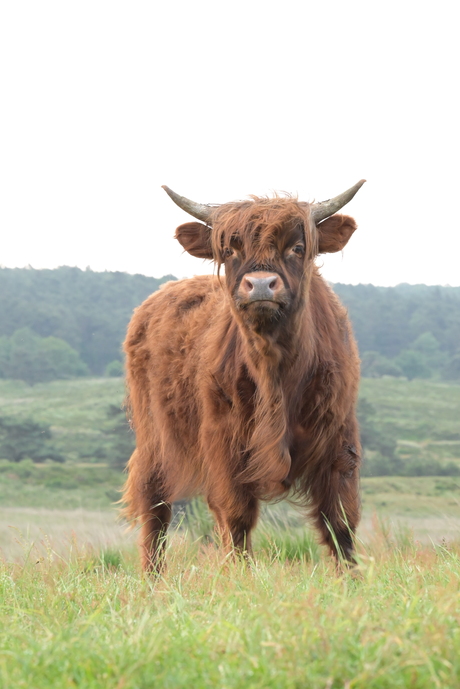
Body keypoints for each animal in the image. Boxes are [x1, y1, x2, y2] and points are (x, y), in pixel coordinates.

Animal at [123, 180, 366, 572]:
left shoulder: (340, 440)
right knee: (155, 508)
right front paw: (241, 576)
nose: (261, 285)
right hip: (154, 437)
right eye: (229, 250)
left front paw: (351, 579)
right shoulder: (224, 441)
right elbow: (236, 517)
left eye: (297, 247)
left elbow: (340, 520)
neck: (276, 370)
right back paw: (152, 579)